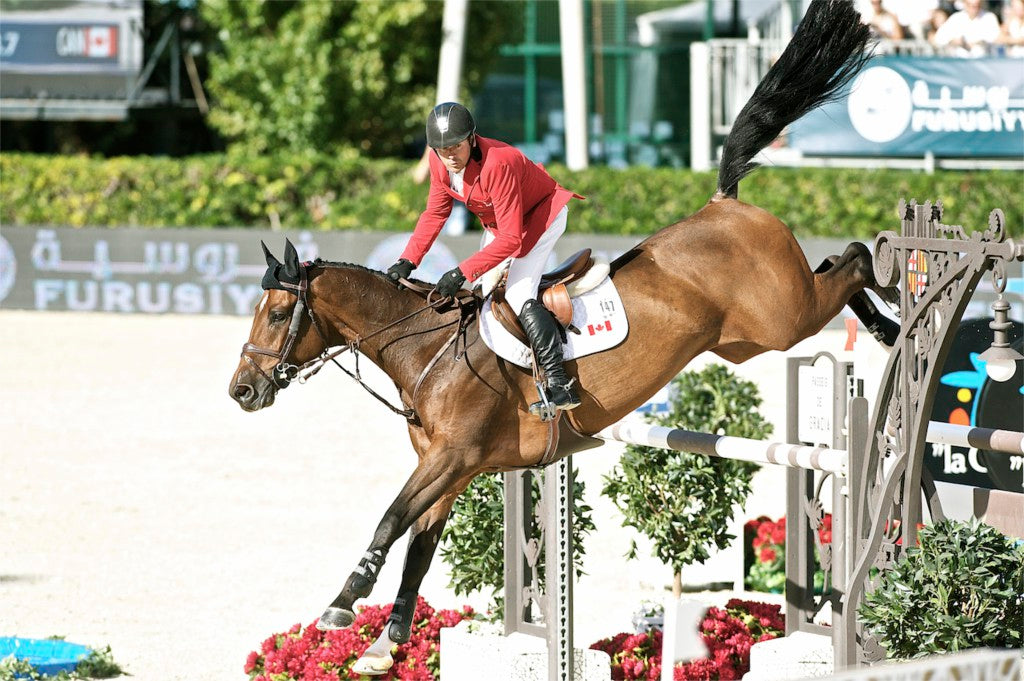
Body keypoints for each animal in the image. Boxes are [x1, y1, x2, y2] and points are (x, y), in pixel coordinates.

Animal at [228, 2, 892, 675]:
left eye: (278, 315)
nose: (241, 391)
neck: (426, 351)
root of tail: (724, 204)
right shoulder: (453, 467)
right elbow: (419, 546)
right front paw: (381, 648)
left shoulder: (451, 458)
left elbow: (391, 521)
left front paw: (341, 606)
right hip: (750, 337)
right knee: (836, 265)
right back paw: (884, 320)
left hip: (786, 318)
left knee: (853, 260)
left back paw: (892, 316)